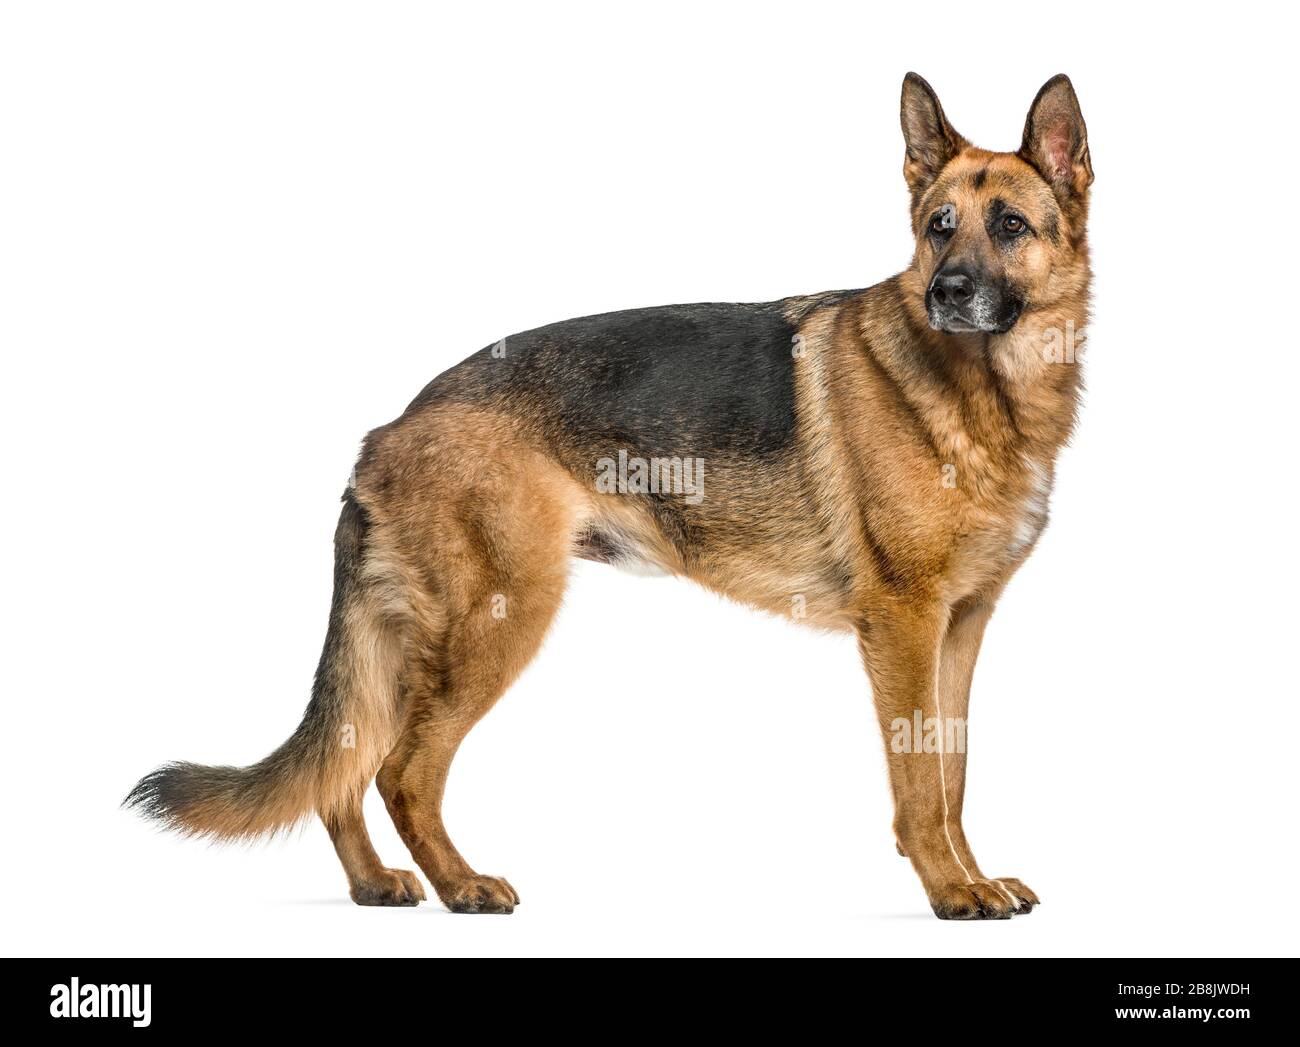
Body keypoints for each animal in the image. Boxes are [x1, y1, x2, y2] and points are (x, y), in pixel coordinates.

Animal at [128, 73, 1092, 920]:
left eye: (1009, 225)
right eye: (938, 228)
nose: (946, 293)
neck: (984, 391)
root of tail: (389, 428)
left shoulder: (959, 627)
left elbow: (952, 775)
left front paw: (972, 876)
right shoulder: (902, 627)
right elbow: (920, 786)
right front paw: (950, 890)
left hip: (416, 643)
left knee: (345, 770)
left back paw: (376, 883)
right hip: (499, 620)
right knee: (401, 771)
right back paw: (463, 885)